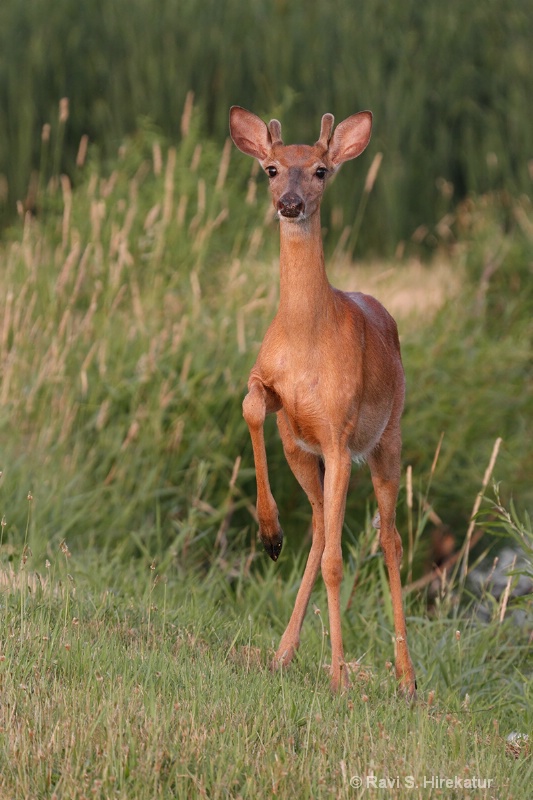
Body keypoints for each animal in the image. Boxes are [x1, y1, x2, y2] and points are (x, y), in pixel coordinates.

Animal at [229, 104, 416, 692]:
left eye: (320, 170)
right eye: (270, 168)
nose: (290, 203)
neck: (307, 336)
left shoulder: (338, 435)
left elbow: (339, 561)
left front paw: (338, 677)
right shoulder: (279, 401)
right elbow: (250, 404)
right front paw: (269, 532)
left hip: (385, 440)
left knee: (389, 539)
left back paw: (407, 679)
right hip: (301, 455)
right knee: (316, 529)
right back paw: (282, 652)